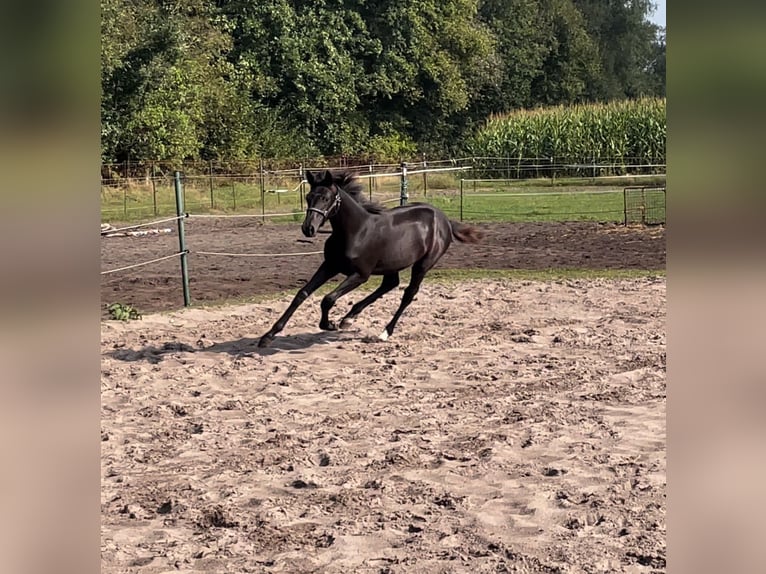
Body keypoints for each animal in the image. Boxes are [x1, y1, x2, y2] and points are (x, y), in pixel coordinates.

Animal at [260, 171, 484, 348]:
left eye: (325, 198)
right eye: (308, 197)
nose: (308, 229)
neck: (356, 231)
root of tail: (445, 220)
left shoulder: (361, 274)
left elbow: (328, 298)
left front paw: (329, 324)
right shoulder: (330, 266)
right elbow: (302, 294)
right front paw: (268, 336)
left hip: (423, 264)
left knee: (408, 294)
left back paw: (384, 332)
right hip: (392, 265)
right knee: (390, 284)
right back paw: (349, 318)